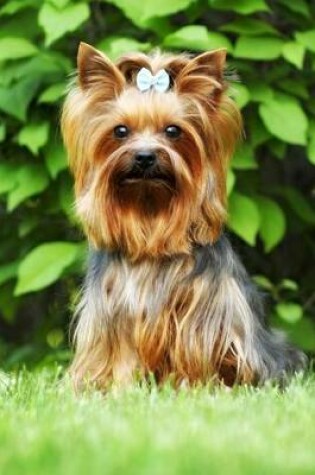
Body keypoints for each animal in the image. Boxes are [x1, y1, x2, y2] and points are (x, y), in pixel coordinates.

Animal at [61, 41, 306, 390]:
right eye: (120, 131)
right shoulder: (116, 311)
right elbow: (123, 354)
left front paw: (194, 386)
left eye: (173, 131)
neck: (151, 221)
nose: (145, 156)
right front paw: (123, 390)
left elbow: (196, 347)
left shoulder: (203, 311)